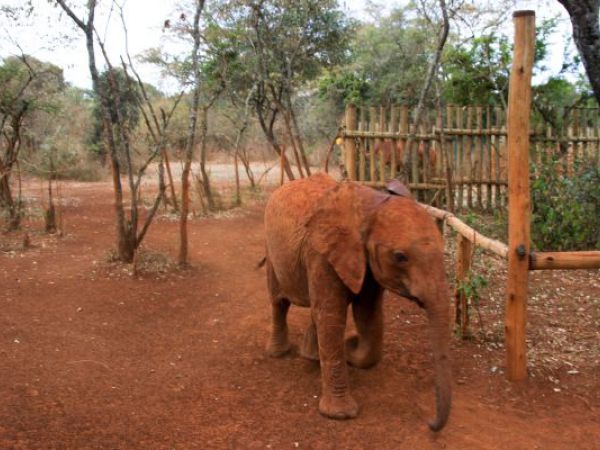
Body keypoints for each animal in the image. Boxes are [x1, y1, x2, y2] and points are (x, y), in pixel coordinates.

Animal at [262, 173, 450, 432]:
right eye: (400, 257)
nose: (429, 423)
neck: (371, 205)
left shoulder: (365, 261)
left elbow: (366, 312)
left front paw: (351, 352)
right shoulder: (321, 253)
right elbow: (332, 316)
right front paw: (340, 415)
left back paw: (311, 356)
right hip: (272, 249)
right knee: (278, 301)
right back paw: (278, 354)